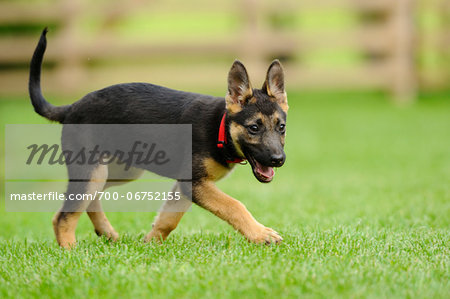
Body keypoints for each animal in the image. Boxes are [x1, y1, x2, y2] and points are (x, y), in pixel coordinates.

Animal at [29, 28, 288, 248]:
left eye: (281, 127)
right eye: (253, 128)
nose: (279, 160)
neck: (220, 129)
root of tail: (72, 107)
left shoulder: (187, 185)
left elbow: (169, 218)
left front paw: (151, 242)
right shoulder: (194, 183)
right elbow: (235, 205)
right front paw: (261, 234)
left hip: (117, 171)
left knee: (86, 201)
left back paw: (105, 232)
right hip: (92, 170)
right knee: (64, 216)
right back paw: (69, 250)